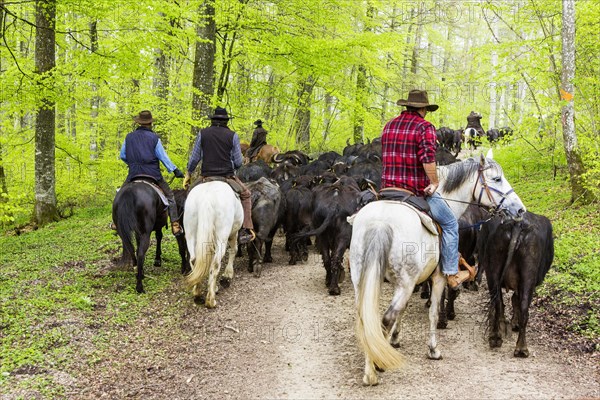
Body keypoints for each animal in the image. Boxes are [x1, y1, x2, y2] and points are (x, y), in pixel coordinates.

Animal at [184, 180, 243, 308]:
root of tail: (206, 196)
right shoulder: (233, 233)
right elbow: (234, 249)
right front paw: (228, 274)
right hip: (222, 236)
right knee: (215, 263)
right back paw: (211, 300)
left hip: (190, 234)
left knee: (194, 260)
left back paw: (197, 293)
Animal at [346, 153, 524, 384]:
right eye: (496, 179)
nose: (519, 209)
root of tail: (380, 223)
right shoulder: (437, 278)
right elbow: (432, 313)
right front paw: (433, 349)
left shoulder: (402, 284)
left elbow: (402, 310)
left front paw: (395, 339)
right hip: (403, 282)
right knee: (385, 318)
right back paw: (376, 367)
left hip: (363, 279)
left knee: (366, 318)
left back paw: (370, 369)